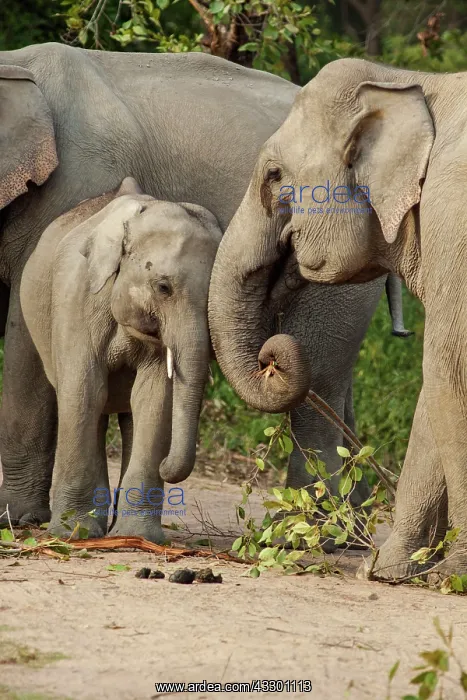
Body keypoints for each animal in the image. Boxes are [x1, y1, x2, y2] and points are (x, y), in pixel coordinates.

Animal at [20, 176, 221, 542]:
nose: (167, 467)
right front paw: (72, 533)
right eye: (163, 287)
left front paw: (139, 538)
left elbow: (153, 400)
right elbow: (84, 392)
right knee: (94, 406)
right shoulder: (77, 298)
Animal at [208, 56, 467, 578]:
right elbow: (437, 386)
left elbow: (449, 371)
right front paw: (390, 571)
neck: (413, 83)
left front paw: (448, 574)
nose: (273, 355)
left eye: (273, 174)